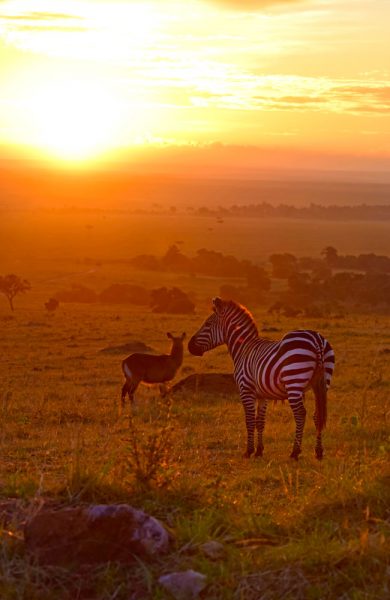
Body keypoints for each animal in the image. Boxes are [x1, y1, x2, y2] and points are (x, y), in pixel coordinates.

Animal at [187, 298, 334, 460]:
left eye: (207, 324)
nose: (189, 346)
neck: (244, 348)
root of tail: (316, 339)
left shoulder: (245, 389)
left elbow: (250, 420)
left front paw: (249, 451)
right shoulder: (263, 394)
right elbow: (260, 421)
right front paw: (259, 451)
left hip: (294, 382)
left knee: (301, 414)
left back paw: (295, 452)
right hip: (323, 384)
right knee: (318, 415)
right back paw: (318, 452)